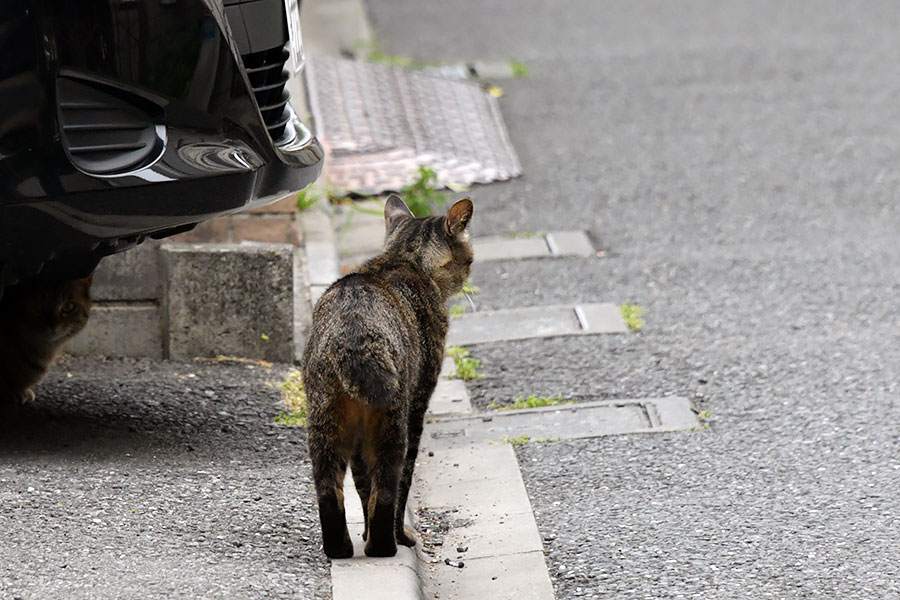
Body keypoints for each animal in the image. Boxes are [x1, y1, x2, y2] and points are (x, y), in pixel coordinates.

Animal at [302, 192, 474, 556]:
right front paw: (401, 535)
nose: (468, 273)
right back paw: (384, 545)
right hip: (393, 421)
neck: (402, 258)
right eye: (468, 260)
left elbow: (361, 485)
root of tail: (352, 330)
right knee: (388, 486)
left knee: (330, 491)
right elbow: (395, 488)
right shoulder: (418, 404)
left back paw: (341, 548)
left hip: (325, 424)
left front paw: (365, 530)